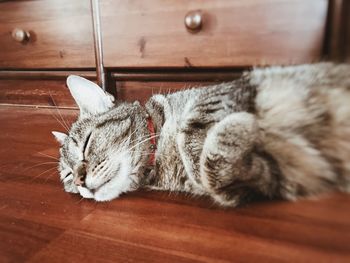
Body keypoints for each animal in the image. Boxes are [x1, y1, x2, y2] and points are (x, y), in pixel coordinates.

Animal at [52, 63, 350, 207]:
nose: (79, 181)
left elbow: (191, 133)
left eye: (86, 144)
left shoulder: (221, 92)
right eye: (67, 175)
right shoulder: (270, 184)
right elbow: (218, 179)